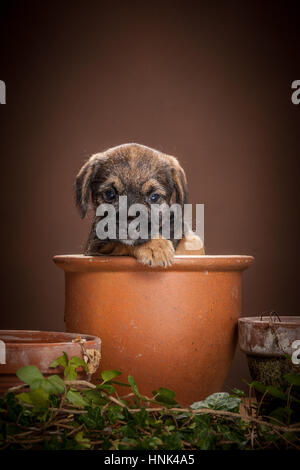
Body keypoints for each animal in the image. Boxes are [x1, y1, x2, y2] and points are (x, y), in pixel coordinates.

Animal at [76, 143, 205, 266]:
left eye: (154, 197)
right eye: (109, 194)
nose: (129, 224)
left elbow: (193, 244)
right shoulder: (96, 246)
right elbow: (121, 244)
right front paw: (156, 246)